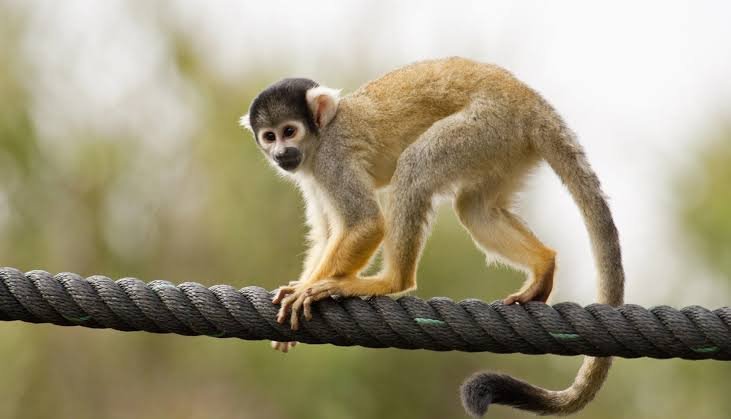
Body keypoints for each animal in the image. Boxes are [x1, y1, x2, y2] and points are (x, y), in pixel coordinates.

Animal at [239, 57, 625, 417]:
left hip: (486, 126)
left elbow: (366, 223)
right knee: (474, 208)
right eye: (270, 136)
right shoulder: (310, 174)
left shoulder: (332, 160)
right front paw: (298, 288)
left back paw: (391, 281)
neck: (319, 139)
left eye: (289, 131)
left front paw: (305, 290)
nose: (280, 153)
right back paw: (543, 264)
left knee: (415, 168)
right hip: (506, 145)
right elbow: (326, 232)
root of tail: (528, 100)